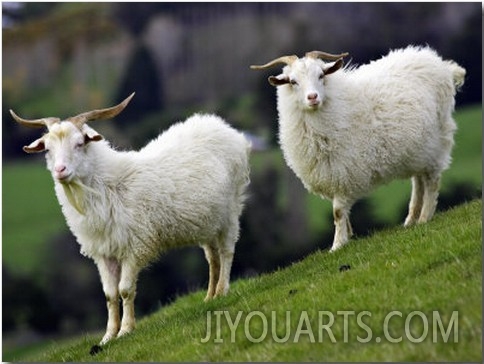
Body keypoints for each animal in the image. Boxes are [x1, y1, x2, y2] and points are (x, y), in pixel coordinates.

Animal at [9, 93, 251, 344]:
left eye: (79, 143)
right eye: (47, 149)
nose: (60, 170)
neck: (109, 185)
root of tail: (221, 125)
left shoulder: (135, 245)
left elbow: (125, 290)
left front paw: (126, 329)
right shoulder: (103, 252)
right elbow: (109, 294)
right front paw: (108, 336)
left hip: (231, 208)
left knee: (226, 252)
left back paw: (222, 291)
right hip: (208, 221)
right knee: (213, 258)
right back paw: (210, 297)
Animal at [251, 44, 464, 250]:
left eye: (321, 75)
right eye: (293, 82)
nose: (312, 97)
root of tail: (440, 64)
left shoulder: (343, 170)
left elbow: (337, 212)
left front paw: (337, 245)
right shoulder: (331, 174)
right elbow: (340, 213)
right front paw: (349, 235)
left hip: (437, 141)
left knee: (432, 182)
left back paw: (424, 217)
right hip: (418, 150)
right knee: (419, 181)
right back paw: (411, 219)